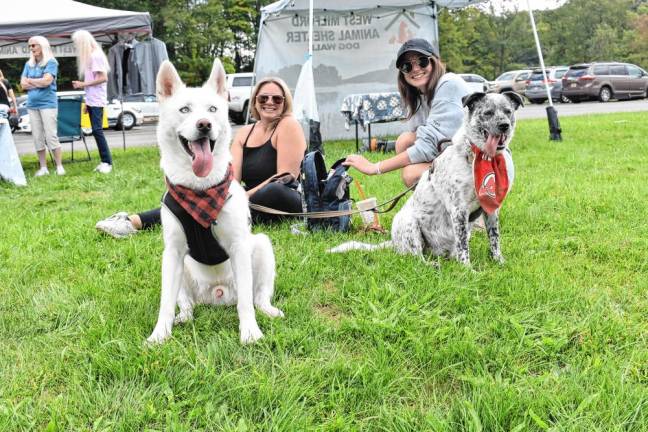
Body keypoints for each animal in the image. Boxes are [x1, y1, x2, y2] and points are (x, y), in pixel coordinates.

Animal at [147, 59, 284, 346]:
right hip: (181, 267)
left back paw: (267, 310)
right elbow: (165, 303)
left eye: (212, 109)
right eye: (184, 109)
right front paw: (159, 334)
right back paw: (183, 317)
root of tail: (217, 296)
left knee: (257, 296)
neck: (200, 189)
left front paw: (250, 332)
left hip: (261, 246)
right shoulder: (173, 252)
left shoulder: (239, 246)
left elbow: (246, 303)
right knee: (186, 304)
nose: (204, 124)